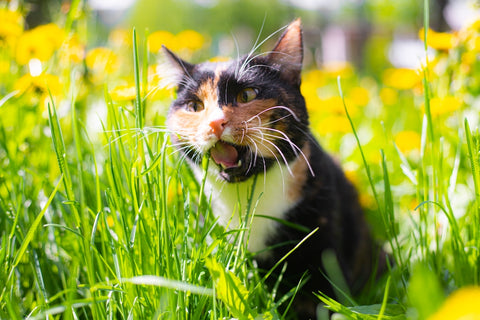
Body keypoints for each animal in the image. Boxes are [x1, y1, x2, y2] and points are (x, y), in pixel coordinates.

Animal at [163, 19, 384, 318]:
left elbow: (321, 297)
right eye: (194, 106)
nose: (214, 123)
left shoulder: (323, 243)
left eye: (247, 94)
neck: (249, 197)